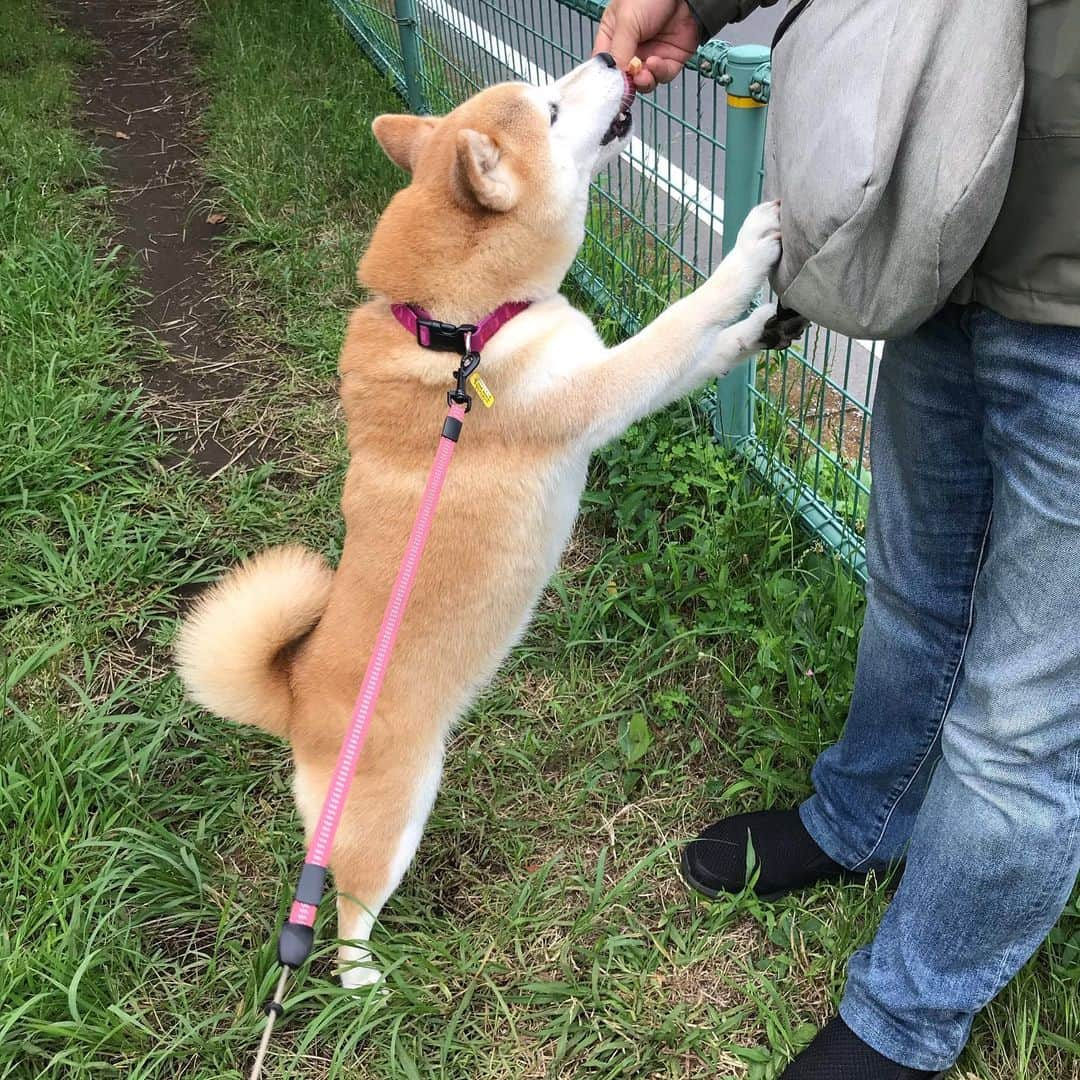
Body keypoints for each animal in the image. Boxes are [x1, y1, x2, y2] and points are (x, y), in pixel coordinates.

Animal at [174, 56, 803, 989]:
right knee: (343, 914)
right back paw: (368, 984)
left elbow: (706, 350)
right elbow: (682, 321)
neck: (458, 330)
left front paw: (760, 329)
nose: (612, 58)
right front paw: (749, 251)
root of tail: (296, 697)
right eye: (551, 106)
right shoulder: (596, 393)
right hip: (390, 811)